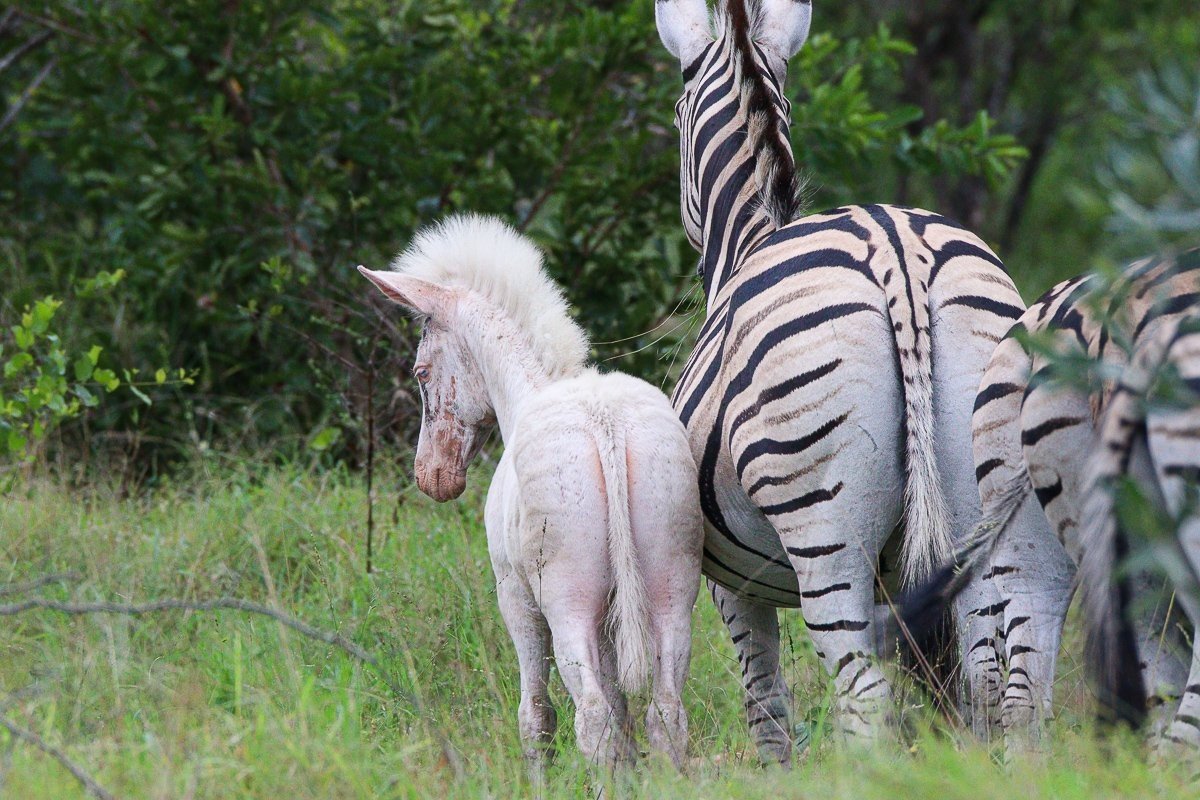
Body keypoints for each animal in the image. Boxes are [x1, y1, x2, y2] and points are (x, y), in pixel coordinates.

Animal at [655, 0, 1032, 758]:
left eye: (676, 114)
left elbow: (766, 709)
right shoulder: (908, 583)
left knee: (863, 700)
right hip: (978, 505)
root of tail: (899, 253)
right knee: (987, 684)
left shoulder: (732, 586)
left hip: (823, 530)